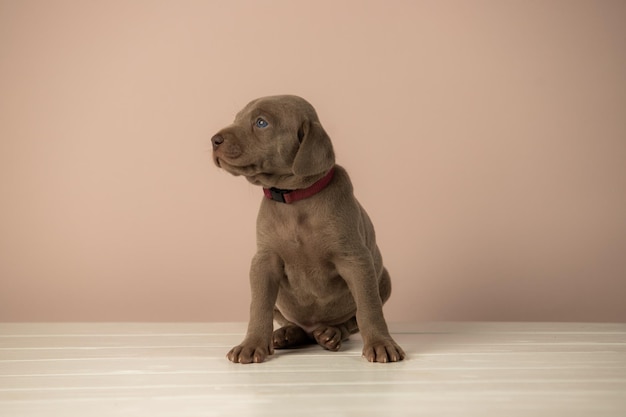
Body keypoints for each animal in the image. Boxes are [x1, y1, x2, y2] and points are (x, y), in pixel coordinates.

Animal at [211, 94, 404, 360]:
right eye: (237, 118)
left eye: (261, 123)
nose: (214, 140)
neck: (295, 199)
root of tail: (313, 329)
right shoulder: (263, 262)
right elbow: (258, 306)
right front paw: (251, 344)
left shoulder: (356, 260)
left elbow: (368, 308)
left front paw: (380, 343)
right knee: (291, 322)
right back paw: (288, 334)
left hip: (383, 280)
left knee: (349, 322)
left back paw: (330, 334)